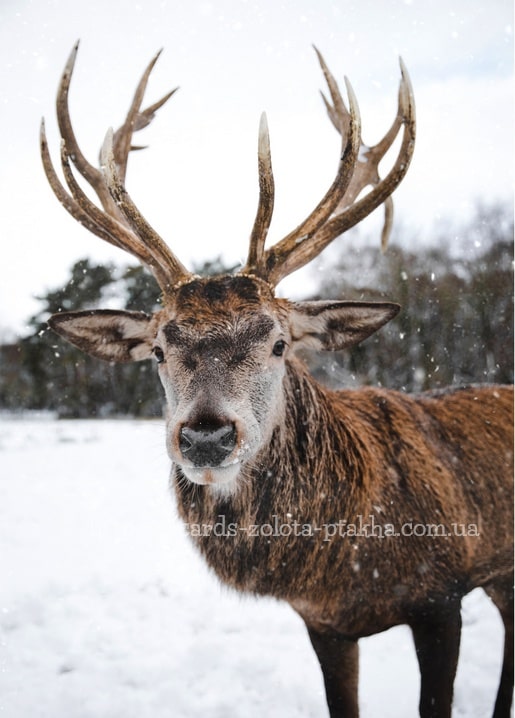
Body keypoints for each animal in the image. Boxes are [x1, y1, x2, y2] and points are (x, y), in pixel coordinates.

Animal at [42, 42, 512, 716]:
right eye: (157, 350)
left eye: (279, 343)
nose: (206, 436)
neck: (347, 562)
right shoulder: (323, 624)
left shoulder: (443, 593)